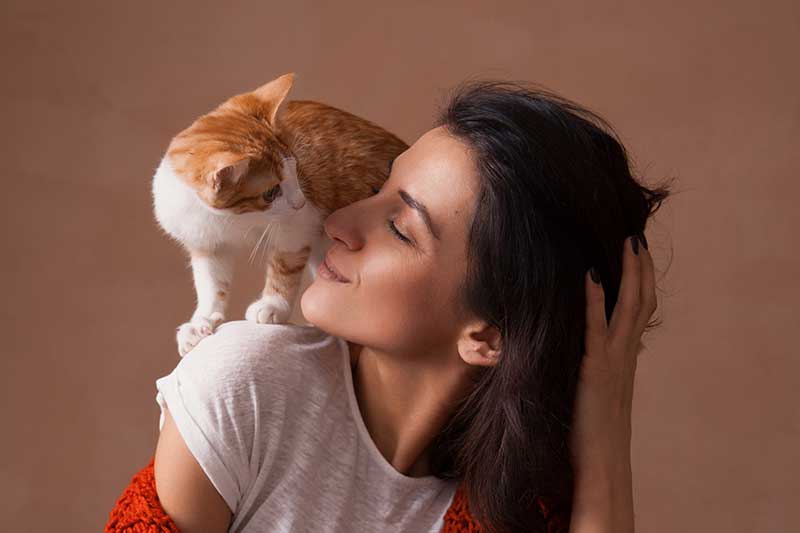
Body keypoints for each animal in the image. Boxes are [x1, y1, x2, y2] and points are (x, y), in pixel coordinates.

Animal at [151, 72, 406, 356]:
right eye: (271, 192)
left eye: (295, 168)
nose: (299, 202)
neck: (232, 219)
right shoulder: (205, 243)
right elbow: (211, 282)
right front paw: (202, 320)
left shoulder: (298, 227)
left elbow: (285, 265)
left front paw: (273, 305)